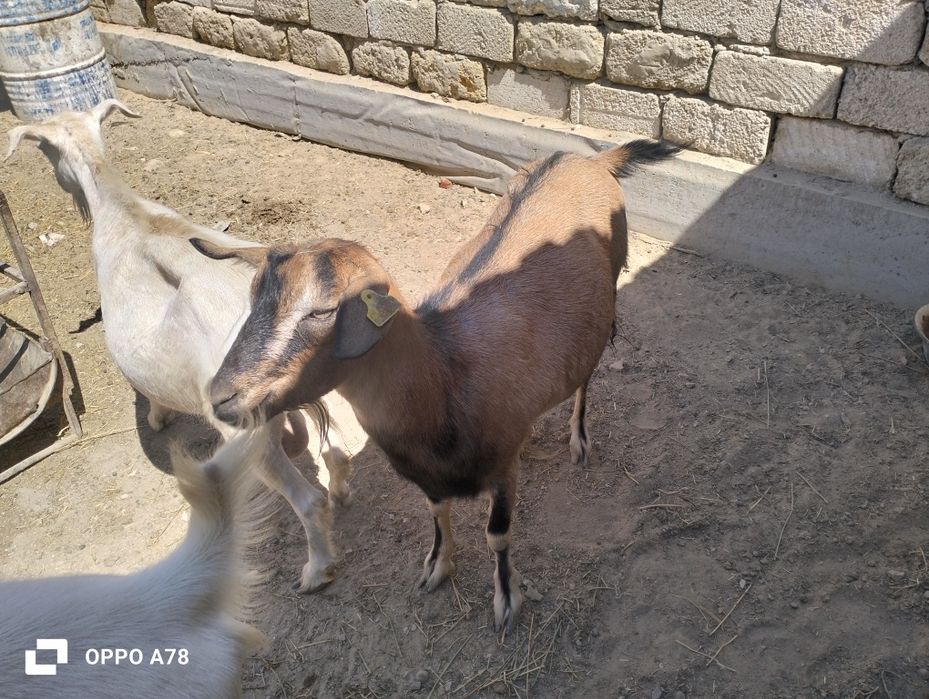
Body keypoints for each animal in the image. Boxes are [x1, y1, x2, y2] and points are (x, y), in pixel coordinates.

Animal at [6, 100, 350, 593]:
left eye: (48, 153)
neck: (124, 212)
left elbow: (146, 392)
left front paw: (157, 417)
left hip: (244, 429)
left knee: (307, 500)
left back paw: (316, 570)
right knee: (338, 445)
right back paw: (342, 494)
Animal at [190, 140, 679, 631]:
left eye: (322, 311)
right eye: (252, 300)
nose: (222, 398)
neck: (446, 377)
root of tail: (588, 159)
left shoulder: (502, 472)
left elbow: (497, 535)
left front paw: (507, 599)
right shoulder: (426, 475)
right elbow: (438, 514)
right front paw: (438, 566)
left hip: (610, 293)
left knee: (585, 378)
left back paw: (579, 440)